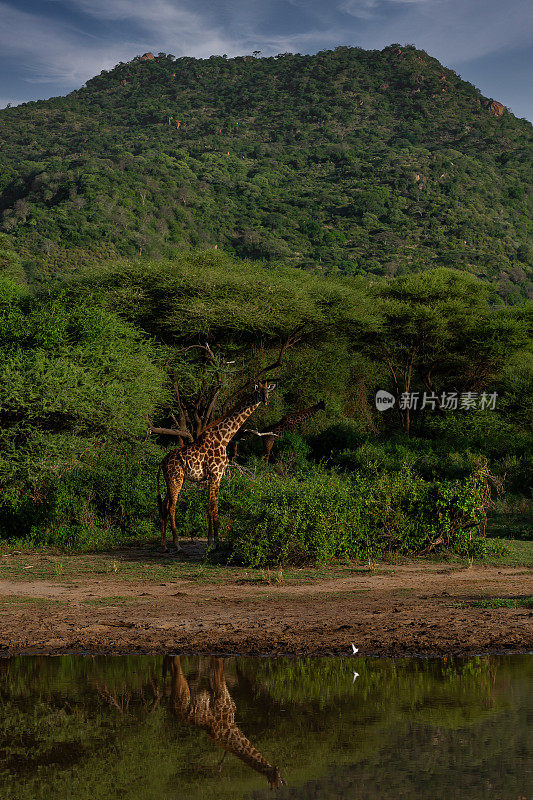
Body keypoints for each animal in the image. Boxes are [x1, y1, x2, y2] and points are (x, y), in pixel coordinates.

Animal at [156, 382, 274, 552]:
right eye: (259, 392)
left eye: (268, 391)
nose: (265, 400)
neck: (224, 438)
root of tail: (162, 462)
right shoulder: (214, 474)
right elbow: (211, 508)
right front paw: (211, 543)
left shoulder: (219, 476)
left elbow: (214, 507)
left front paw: (216, 542)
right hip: (175, 479)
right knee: (171, 506)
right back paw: (177, 544)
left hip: (172, 480)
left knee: (165, 505)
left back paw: (164, 544)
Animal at [164, 656, 284, 788]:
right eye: (276, 778)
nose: (277, 771)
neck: (231, 726)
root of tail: (173, 707)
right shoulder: (220, 691)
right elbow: (219, 668)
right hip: (184, 692)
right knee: (176, 665)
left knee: (171, 665)